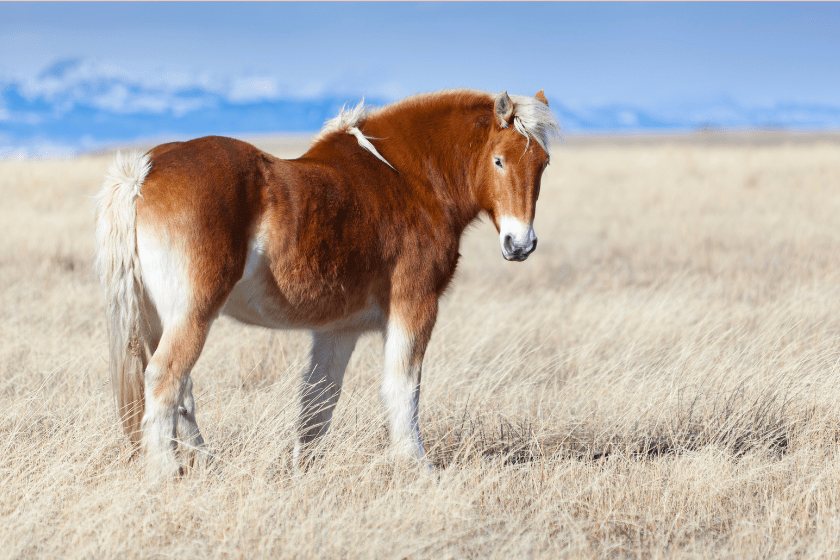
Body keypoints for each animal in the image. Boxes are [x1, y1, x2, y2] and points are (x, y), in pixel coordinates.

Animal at [93, 87, 556, 476]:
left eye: (543, 163)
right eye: (499, 160)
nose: (521, 244)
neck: (406, 179)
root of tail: (143, 172)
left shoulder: (338, 330)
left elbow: (317, 403)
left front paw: (304, 470)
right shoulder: (415, 305)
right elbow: (403, 390)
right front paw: (419, 469)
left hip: (157, 319)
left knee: (181, 390)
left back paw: (204, 464)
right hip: (193, 313)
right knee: (165, 380)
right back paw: (165, 474)